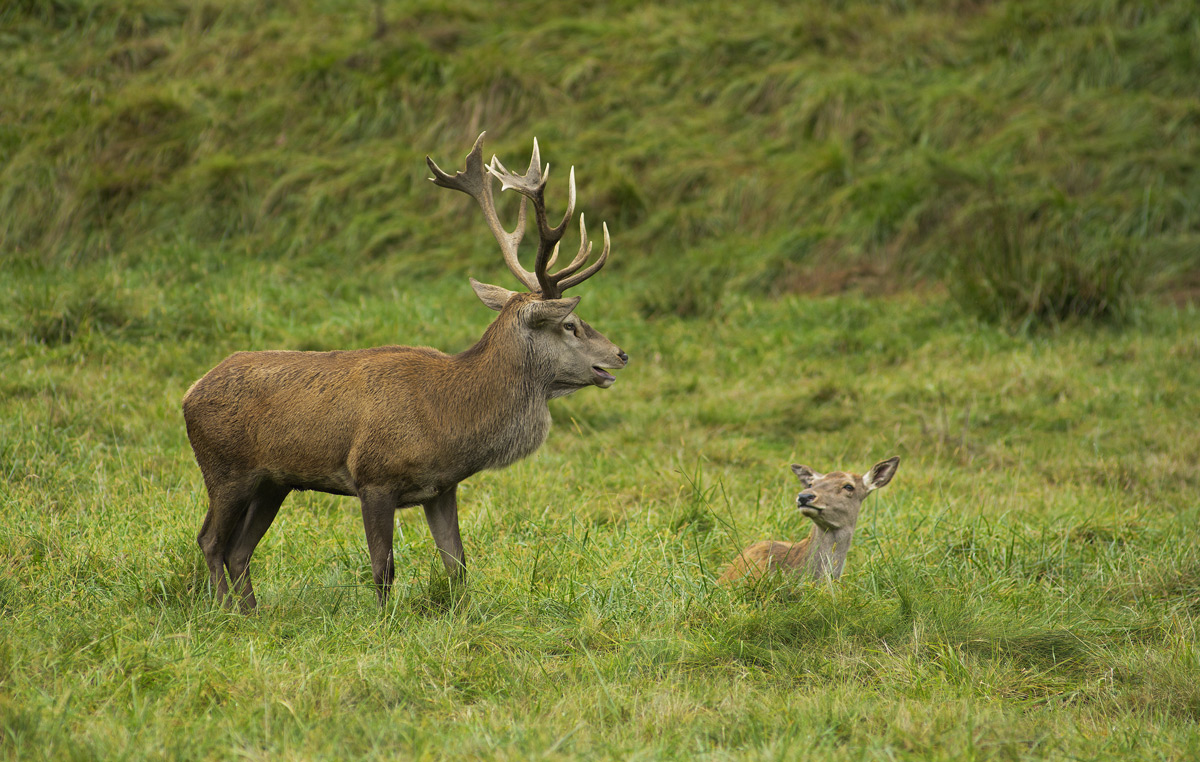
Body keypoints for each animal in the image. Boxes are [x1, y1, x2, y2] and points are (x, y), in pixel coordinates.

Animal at [182, 133, 628, 611]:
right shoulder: (373, 476)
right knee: (211, 540)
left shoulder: (442, 488)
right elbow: (383, 569)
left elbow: (458, 565)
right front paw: (383, 621)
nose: (621, 354)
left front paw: (462, 615)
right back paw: (225, 611)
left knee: (239, 549)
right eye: (570, 324)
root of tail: (188, 394)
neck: (450, 419)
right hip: (225, 469)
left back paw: (251, 612)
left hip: (273, 483)